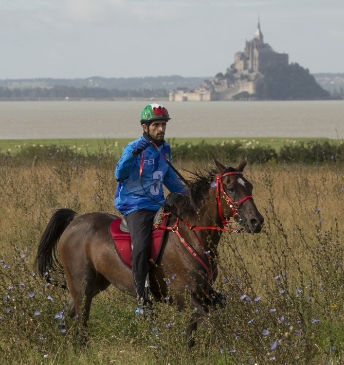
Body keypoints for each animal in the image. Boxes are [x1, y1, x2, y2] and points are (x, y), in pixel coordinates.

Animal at [35, 158, 264, 346]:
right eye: (231, 188)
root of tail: (75, 220)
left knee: (67, 314)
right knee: (81, 320)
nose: (256, 221)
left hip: (95, 283)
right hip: (81, 282)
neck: (191, 235)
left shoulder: (202, 296)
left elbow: (192, 336)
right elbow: (216, 329)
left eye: (250, 186)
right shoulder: (185, 298)